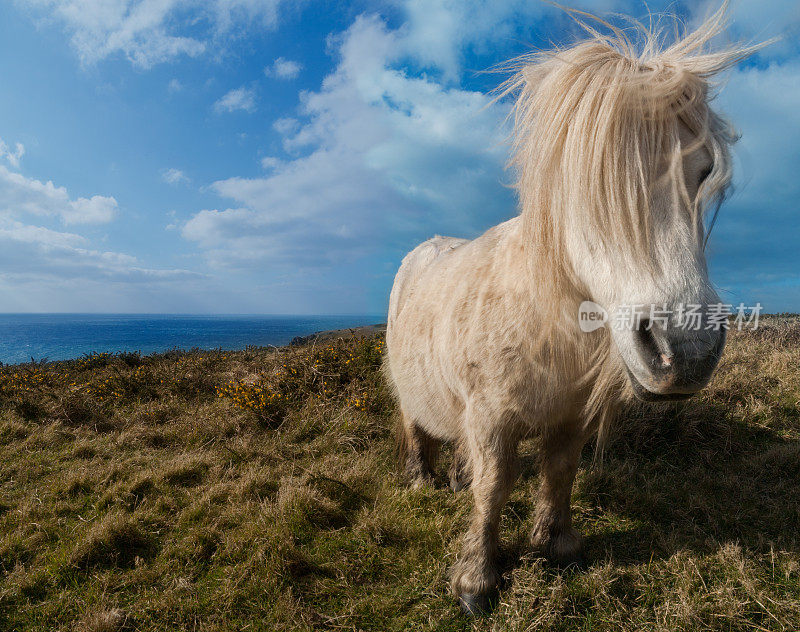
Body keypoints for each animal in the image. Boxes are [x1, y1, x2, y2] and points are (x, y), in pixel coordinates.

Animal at [388, 2, 764, 616]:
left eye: (704, 169)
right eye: (585, 178)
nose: (685, 351)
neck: (545, 324)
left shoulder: (571, 414)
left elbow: (559, 471)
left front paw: (556, 545)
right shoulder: (490, 419)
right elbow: (494, 486)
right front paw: (477, 578)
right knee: (413, 422)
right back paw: (422, 476)